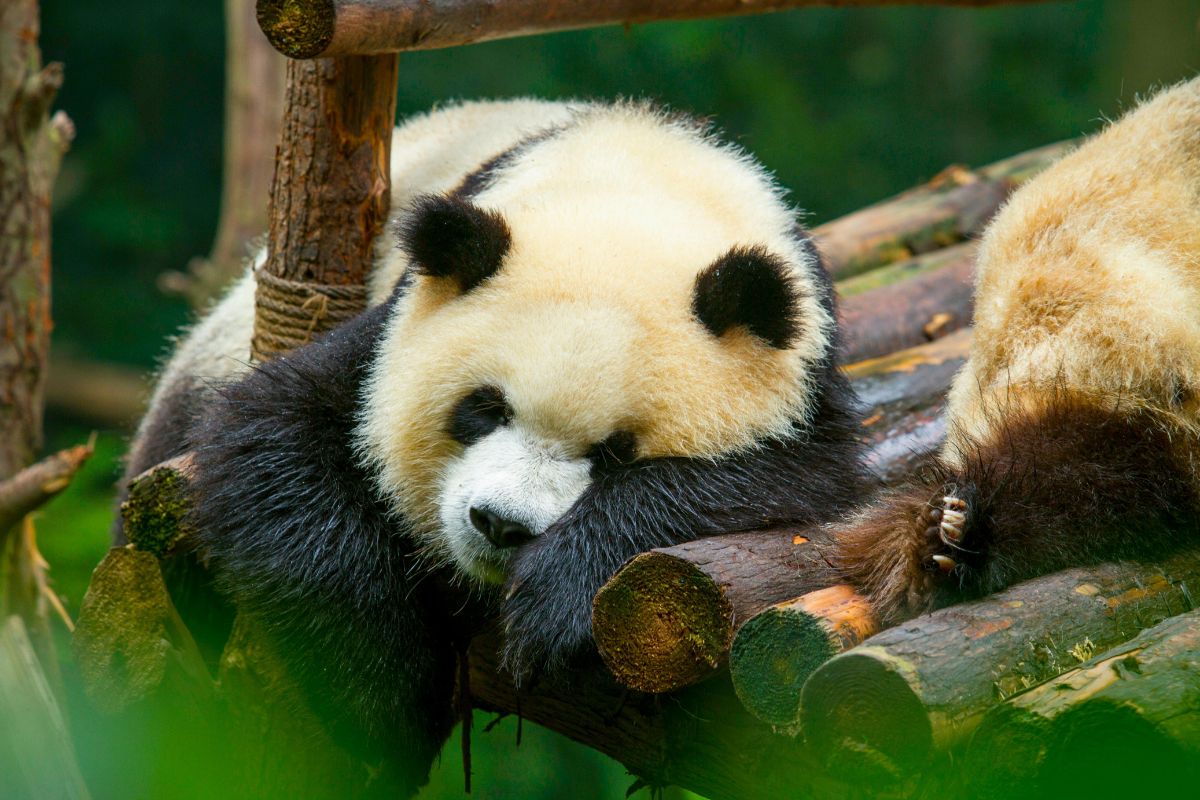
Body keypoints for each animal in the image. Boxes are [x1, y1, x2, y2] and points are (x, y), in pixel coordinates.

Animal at [119, 99, 867, 787]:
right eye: (483, 409)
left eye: (615, 453)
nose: (500, 526)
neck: (643, 184)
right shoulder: (391, 325)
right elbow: (275, 433)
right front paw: (385, 698)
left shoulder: (803, 378)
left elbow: (789, 478)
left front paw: (555, 601)